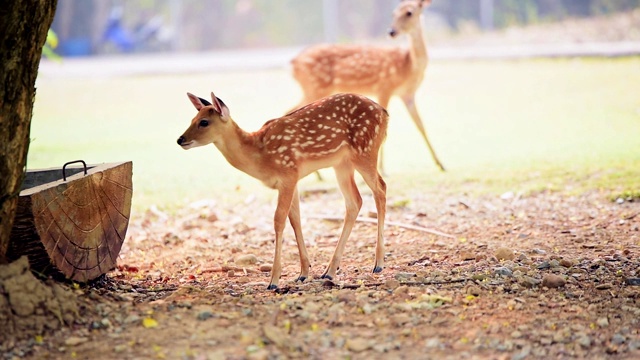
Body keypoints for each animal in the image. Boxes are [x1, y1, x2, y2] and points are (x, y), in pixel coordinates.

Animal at [176, 90, 390, 290]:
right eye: (192, 119)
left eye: (204, 122)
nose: (180, 139)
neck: (260, 154)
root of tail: (384, 113)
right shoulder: (292, 178)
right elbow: (295, 219)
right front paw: (303, 273)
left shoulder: (287, 173)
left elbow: (278, 220)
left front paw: (274, 280)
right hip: (342, 163)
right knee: (355, 201)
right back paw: (329, 271)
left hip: (365, 150)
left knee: (380, 189)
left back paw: (378, 264)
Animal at [292, 0, 444, 173]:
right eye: (393, 13)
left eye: (409, 12)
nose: (391, 31)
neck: (408, 65)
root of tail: (293, 63)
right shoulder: (385, 87)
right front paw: (383, 168)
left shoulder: (408, 94)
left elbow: (421, 125)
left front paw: (441, 164)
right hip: (315, 87)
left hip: (312, 90)